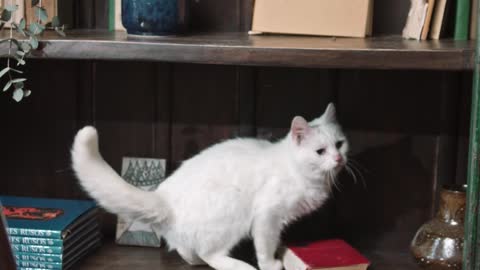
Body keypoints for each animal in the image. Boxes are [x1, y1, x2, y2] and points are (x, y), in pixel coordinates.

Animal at [70, 102, 348, 268]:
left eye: (340, 144)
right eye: (320, 151)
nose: (338, 159)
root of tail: (164, 197)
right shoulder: (267, 216)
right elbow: (265, 246)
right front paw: (271, 264)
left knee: (186, 249)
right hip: (232, 215)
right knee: (209, 254)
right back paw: (239, 266)